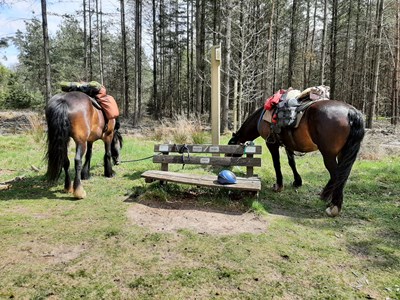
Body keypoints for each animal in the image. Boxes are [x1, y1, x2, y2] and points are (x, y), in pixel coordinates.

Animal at [228, 100, 366, 216]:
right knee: (342, 175)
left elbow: (276, 163)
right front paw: (297, 181)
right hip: (343, 154)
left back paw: (334, 206)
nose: (228, 164)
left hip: (328, 154)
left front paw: (279, 185)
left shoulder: (271, 143)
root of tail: (350, 111)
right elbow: (291, 162)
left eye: (231, 146)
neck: (262, 118)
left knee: (337, 176)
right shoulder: (288, 144)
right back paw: (326, 196)